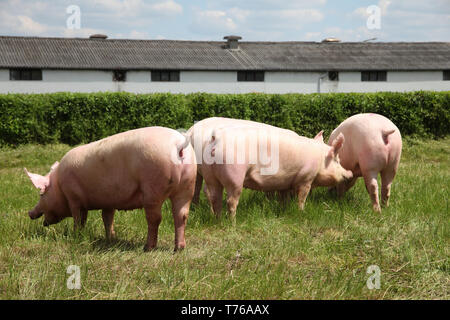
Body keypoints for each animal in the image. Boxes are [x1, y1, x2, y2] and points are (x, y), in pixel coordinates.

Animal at [24, 126, 197, 251]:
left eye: (41, 193)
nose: (30, 213)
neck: (59, 184)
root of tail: (179, 145)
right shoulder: (108, 201)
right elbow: (107, 218)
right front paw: (111, 238)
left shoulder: (74, 197)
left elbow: (79, 218)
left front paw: (76, 234)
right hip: (187, 185)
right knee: (181, 215)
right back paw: (179, 248)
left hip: (153, 186)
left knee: (155, 218)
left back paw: (148, 247)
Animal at [187, 117, 356, 220]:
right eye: (337, 160)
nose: (349, 172)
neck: (320, 159)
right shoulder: (305, 178)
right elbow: (302, 197)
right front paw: (301, 212)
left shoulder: (285, 182)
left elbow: (284, 197)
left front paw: (283, 209)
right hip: (234, 175)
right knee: (229, 199)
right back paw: (232, 222)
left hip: (207, 174)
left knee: (208, 193)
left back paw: (215, 218)